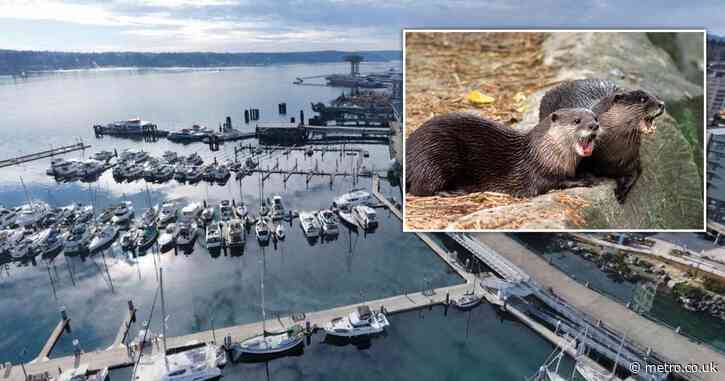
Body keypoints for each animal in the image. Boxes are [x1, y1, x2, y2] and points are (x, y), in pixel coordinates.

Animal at [404, 107, 596, 196]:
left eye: (595, 117)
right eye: (577, 121)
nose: (594, 125)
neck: (543, 154)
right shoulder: (537, 173)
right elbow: (554, 182)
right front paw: (581, 180)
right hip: (433, 157)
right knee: (419, 189)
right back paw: (448, 192)